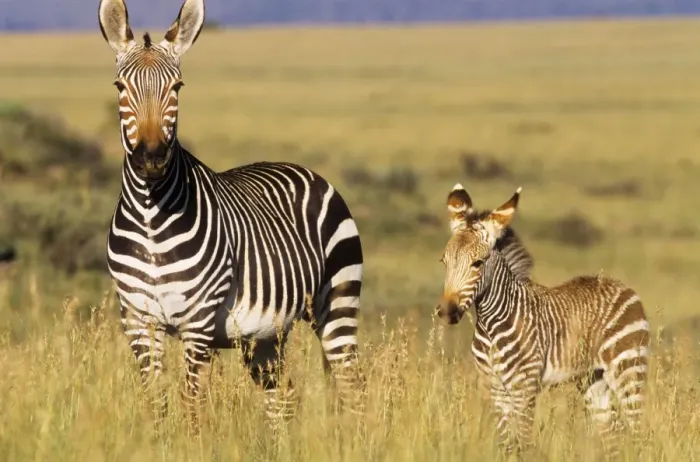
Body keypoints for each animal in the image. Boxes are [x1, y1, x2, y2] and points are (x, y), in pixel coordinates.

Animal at [98, 0, 365, 429]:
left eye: (177, 88)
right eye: (120, 88)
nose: (151, 159)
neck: (151, 217)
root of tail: (308, 171)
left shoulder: (199, 321)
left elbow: (190, 404)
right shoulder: (138, 320)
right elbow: (156, 404)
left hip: (338, 302)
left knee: (353, 386)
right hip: (267, 334)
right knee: (283, 398)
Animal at [436, 184, 649, 459]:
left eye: (477, 263)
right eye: (444, 261)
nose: (447, 312)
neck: (492, 325)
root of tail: (621, 285)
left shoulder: (524, 389)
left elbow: (524, 444)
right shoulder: (495, 389)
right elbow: (507, 445)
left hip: (628, 368)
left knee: (637, 432)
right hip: (593, 379)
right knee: (611, 433)